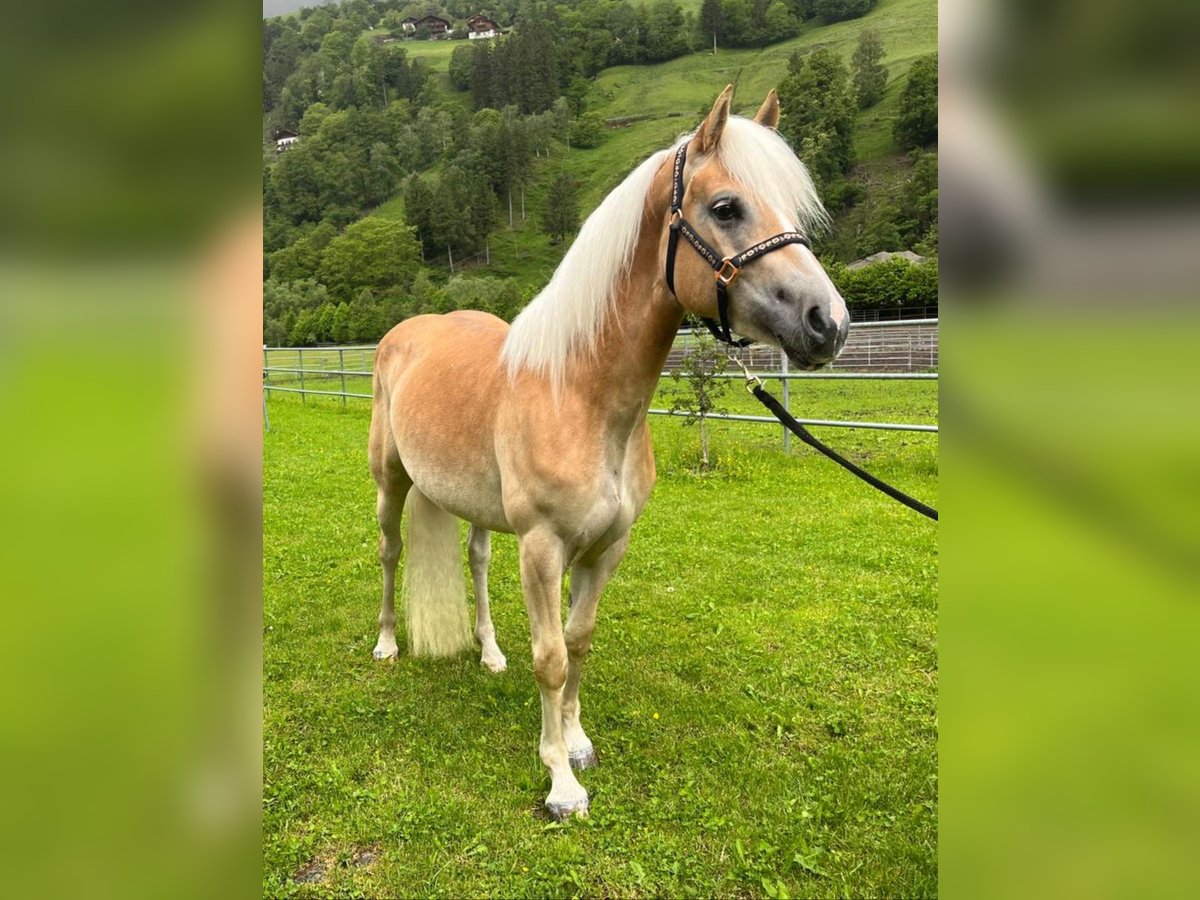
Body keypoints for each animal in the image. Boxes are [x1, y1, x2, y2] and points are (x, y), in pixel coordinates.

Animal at [369, 86, 849, 825]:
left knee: (476, 562)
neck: (581, 395)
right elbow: (550, 657)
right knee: (391, 553)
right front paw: (561, 784)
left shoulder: (606, 548)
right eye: (726, 207)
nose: (829, 323)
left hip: (476, 508)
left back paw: (489, 653)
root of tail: (409, 332)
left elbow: (579, 642)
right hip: (390, 481)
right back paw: (389, 644)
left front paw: (576, 742)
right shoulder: (542, 548)